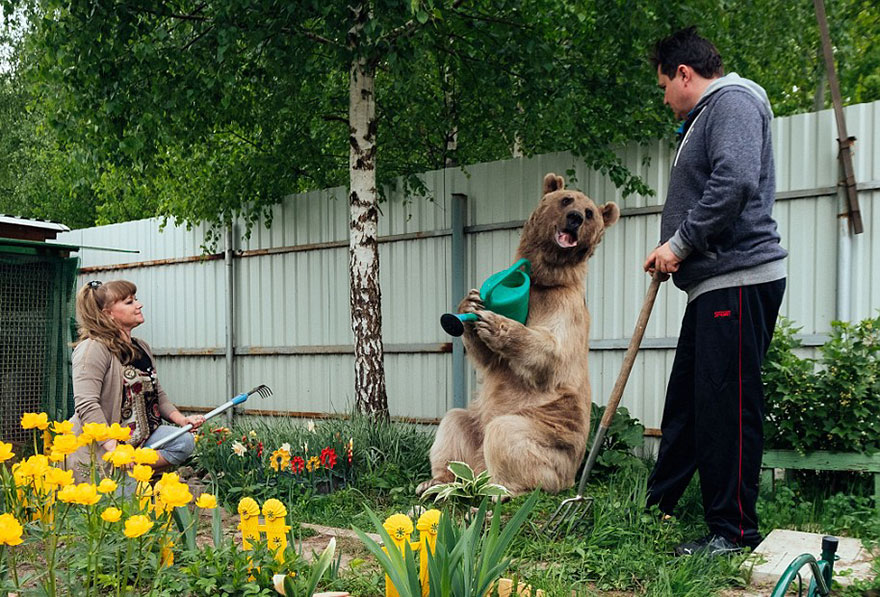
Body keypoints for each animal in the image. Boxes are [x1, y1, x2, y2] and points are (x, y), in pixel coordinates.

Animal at [418, 172, 620, 496]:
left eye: (590, 212)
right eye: (566, 200)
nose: (575, 218)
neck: (544, 279)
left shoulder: (565, 305)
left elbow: (552, 351)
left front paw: (497, 323)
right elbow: (487, 359)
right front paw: (470, 304)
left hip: (549, 437)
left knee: (507, 434)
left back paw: (502, 490)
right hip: (476, 426)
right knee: (453, 423)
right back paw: (436, 481)